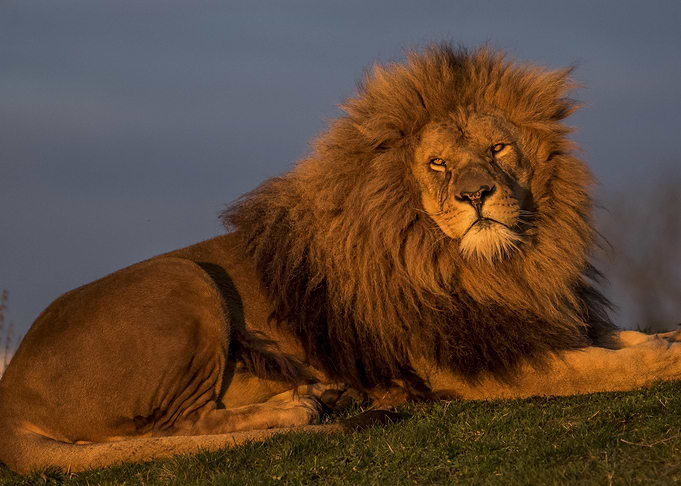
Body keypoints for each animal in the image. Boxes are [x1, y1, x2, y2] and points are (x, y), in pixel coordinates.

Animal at [2, 43, 681, 474]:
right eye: (439, 163)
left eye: (498, 149)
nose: (477, 195)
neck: (486, 269)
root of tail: (10, 393)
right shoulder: (469, 367)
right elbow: (598, 368)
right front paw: (664, 358)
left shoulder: (525, 325)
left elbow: (615, 342)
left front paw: (662, 339)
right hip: (184, 279)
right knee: (183, 426)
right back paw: (301, 406)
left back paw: (330, 397)